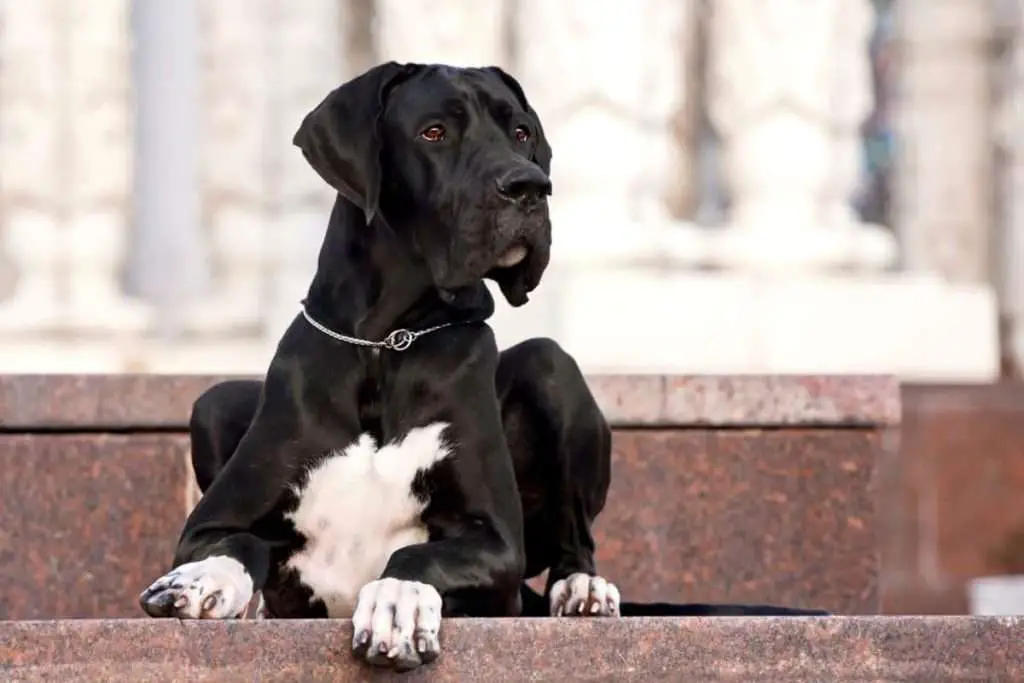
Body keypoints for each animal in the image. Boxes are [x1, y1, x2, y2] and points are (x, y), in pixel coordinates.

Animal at [138, 62, 823, 671]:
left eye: (520, 132)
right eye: (434, 132)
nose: (530, 187)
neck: (389, 341)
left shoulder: (496, 544)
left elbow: (416, 558)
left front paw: (396, 603)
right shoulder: (210, 520)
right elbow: (234, 541)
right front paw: (200, 582)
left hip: (552, 372)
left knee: (574, 541)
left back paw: (583, 591)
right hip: (214, 403)